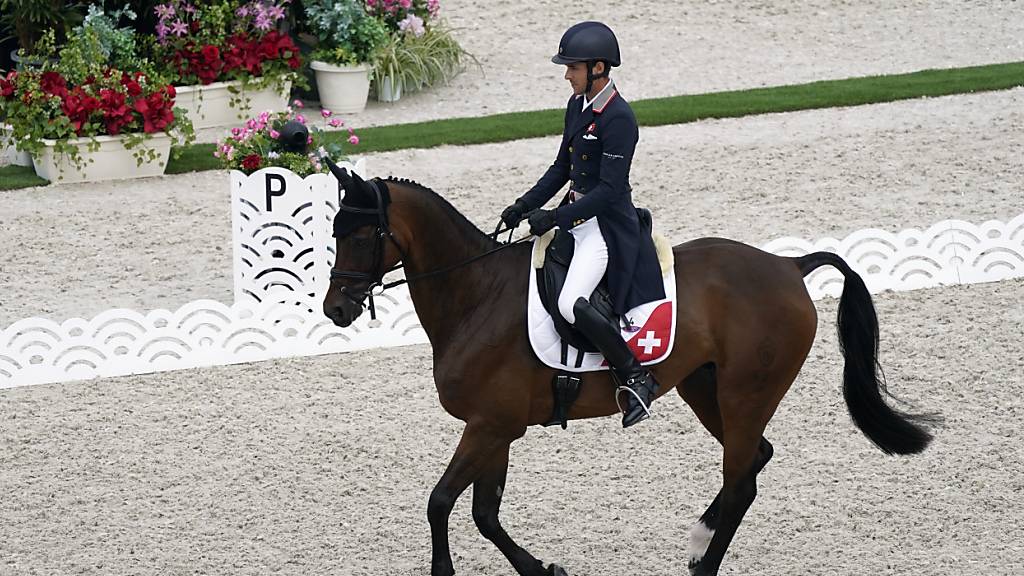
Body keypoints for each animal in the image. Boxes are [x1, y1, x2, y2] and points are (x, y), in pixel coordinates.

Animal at [321, 162, 937, 573]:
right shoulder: (496, 428)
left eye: (361, 235)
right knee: (753, 460)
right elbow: (484, 514)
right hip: (703, 388)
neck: (476, 294)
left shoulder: (490, 425)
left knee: (741, 478)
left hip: (746, 394)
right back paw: (699, 542)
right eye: (334, 233)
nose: (335, 309)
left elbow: (441, 503)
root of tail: (789, 265)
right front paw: (544, 570)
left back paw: (704, 563)